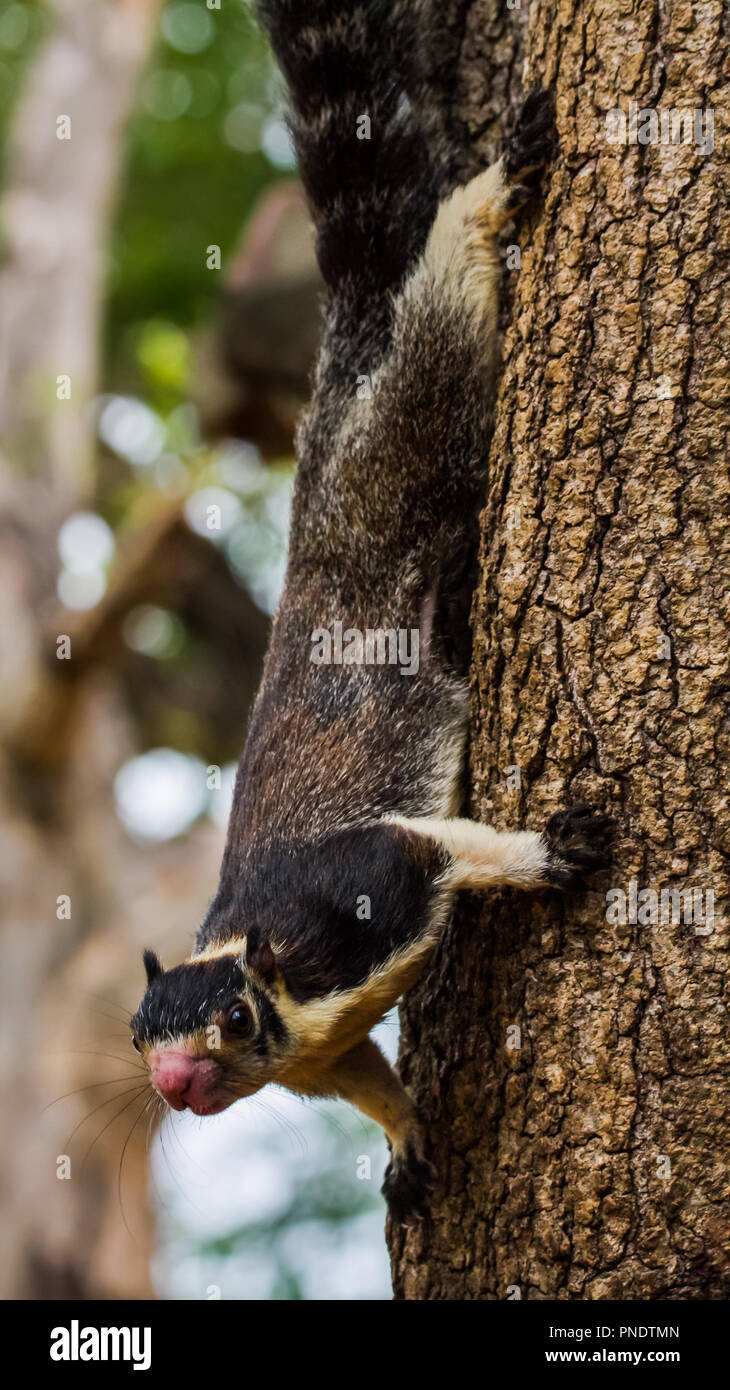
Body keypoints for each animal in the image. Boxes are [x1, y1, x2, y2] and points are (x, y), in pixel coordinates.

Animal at [129, 0, 609, 1223]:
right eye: (136, 1037)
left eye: (234, 1017)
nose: (180, 1086)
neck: (280, 988)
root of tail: (339, 385)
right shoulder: (322, 1053)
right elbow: (367, 1080)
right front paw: (408, 1143)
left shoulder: (352, 899)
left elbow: (434, 848)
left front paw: (551, 850)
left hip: (413, 411)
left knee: (438, 283)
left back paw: (497, 184)